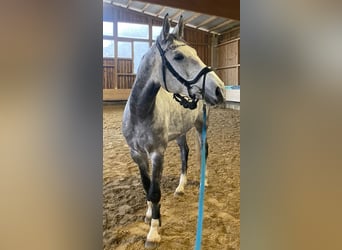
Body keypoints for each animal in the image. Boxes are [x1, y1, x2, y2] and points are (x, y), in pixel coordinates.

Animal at [121, 14, 226, 248]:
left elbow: (155, 191)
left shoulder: (157, 153)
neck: (141, 113)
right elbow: (146, 186)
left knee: (203, 151)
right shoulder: (137, 154)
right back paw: (180, 187)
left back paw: (203, 182)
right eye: (178, 56)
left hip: (201, 126)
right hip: (180, 134)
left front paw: (153, 232)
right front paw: (150, 215)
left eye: (196, 52)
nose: (220, 90)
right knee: (184, 153)